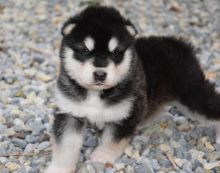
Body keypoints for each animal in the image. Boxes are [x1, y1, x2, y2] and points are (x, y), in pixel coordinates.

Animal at [44, 5, 220, 173]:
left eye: (116, 52)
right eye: (84, 50)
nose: (100, 74)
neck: (95, 94)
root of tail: (179, 43)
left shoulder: (126, 114)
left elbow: (112, 140)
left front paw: (102, 156)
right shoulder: (69, 113)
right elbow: (66, 145)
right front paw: (59, 168)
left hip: (194, 95)